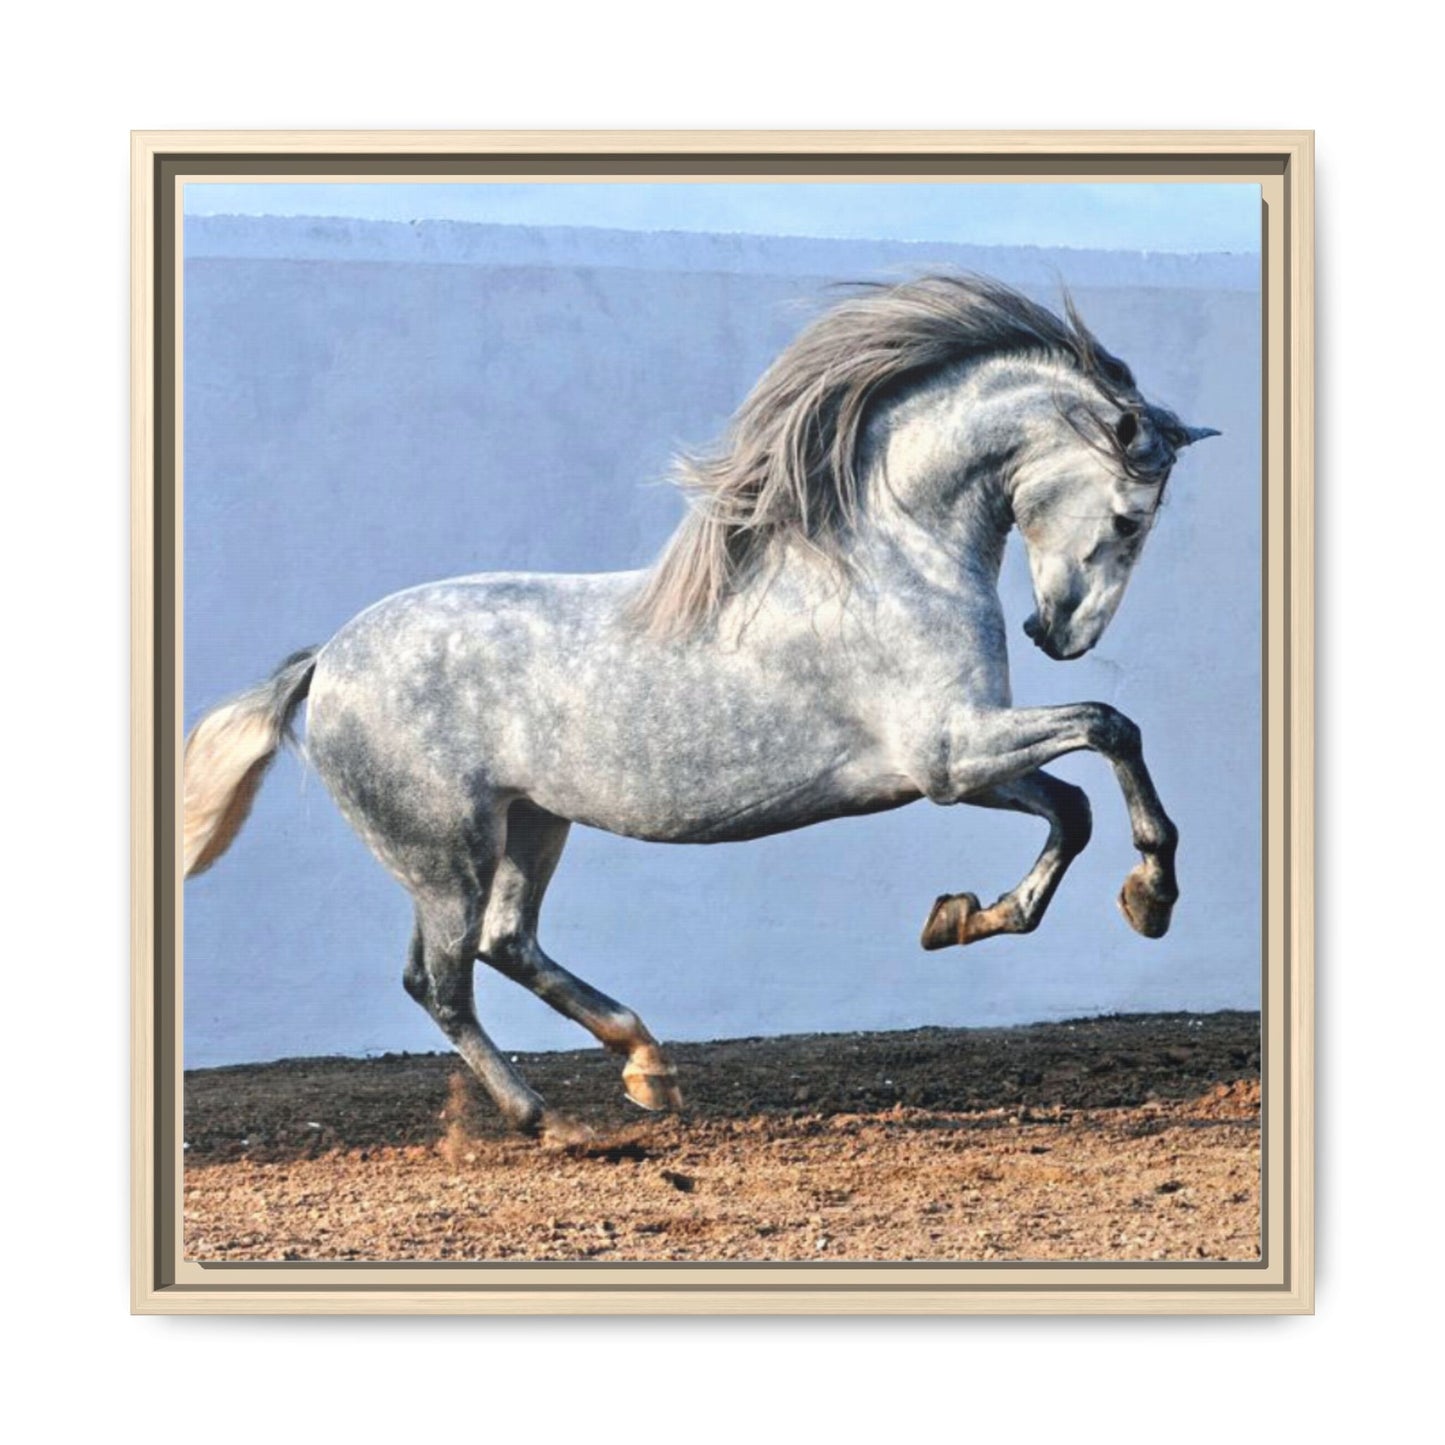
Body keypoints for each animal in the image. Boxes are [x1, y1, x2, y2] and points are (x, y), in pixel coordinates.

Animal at [182, 273, 1218, 1143]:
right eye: (1128, 517)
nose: (1058, 634)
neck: (888, 559)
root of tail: (325, 663)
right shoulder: (948, 752)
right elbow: (1109, 727)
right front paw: (1152, 897)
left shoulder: (948, 767)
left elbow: (1072, 805)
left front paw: (966, 916)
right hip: (443, 853)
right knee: (440, 980)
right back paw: (546, 1118)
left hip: (531, 823)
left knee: (506, 942)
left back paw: (647, 1066)